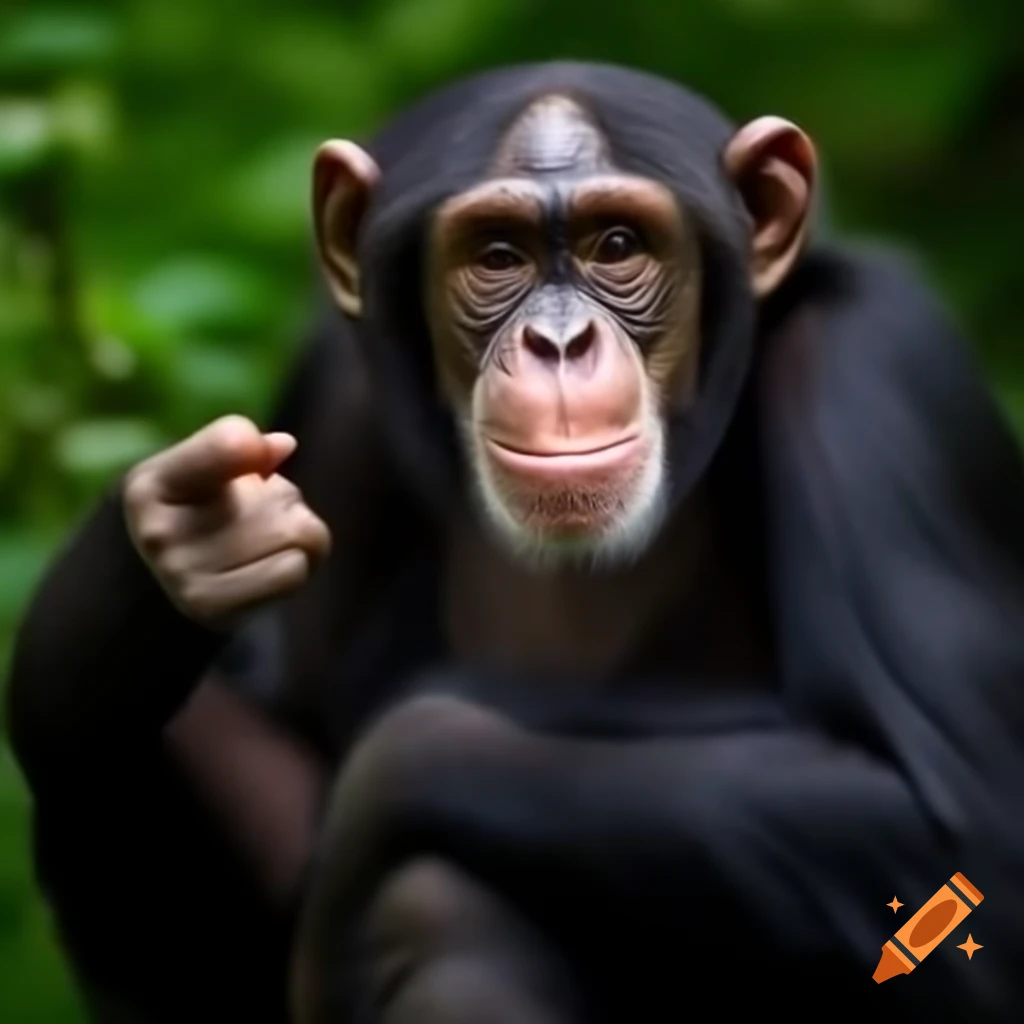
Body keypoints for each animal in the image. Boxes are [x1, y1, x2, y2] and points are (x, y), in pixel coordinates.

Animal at [7, 62, 1024, 1024]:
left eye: (619, 246)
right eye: (497, 256)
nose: (559, 343)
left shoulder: (876, 372)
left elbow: (949, 823)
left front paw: (382, 784)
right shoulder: (334, 398)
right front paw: (179, 538)